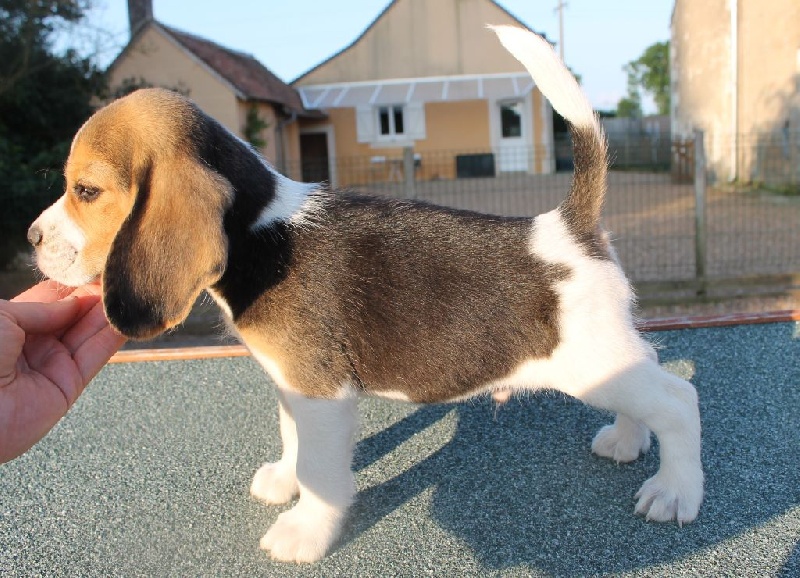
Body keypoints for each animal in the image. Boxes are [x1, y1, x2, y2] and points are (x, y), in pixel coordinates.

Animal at [28, 26, 703, 563]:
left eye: (86, 190)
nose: (31, 238)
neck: (259, 231)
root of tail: (567, 225)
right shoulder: (294, 385)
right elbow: (294, 441)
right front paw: (284, 480)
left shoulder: (320, 392)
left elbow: (321, 469)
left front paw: (304, 530)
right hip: (608, 356)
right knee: (650, 374)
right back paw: (627, 438)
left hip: (592, 360)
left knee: (678, 398)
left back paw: (674, 489)